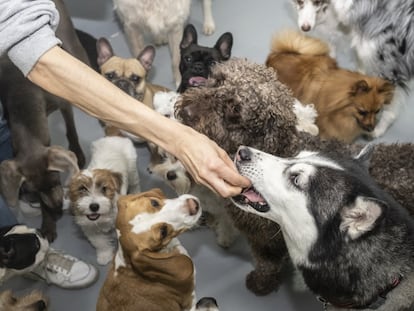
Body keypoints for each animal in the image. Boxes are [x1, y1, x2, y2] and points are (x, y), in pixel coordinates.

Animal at [67, 136, 140, 266]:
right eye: (82, 189)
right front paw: (105, 255)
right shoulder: (91, 229)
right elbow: (100, 243)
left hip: (132, 168)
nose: (94, 206)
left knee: (135, 183)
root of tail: (113, 137)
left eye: (104, 189)